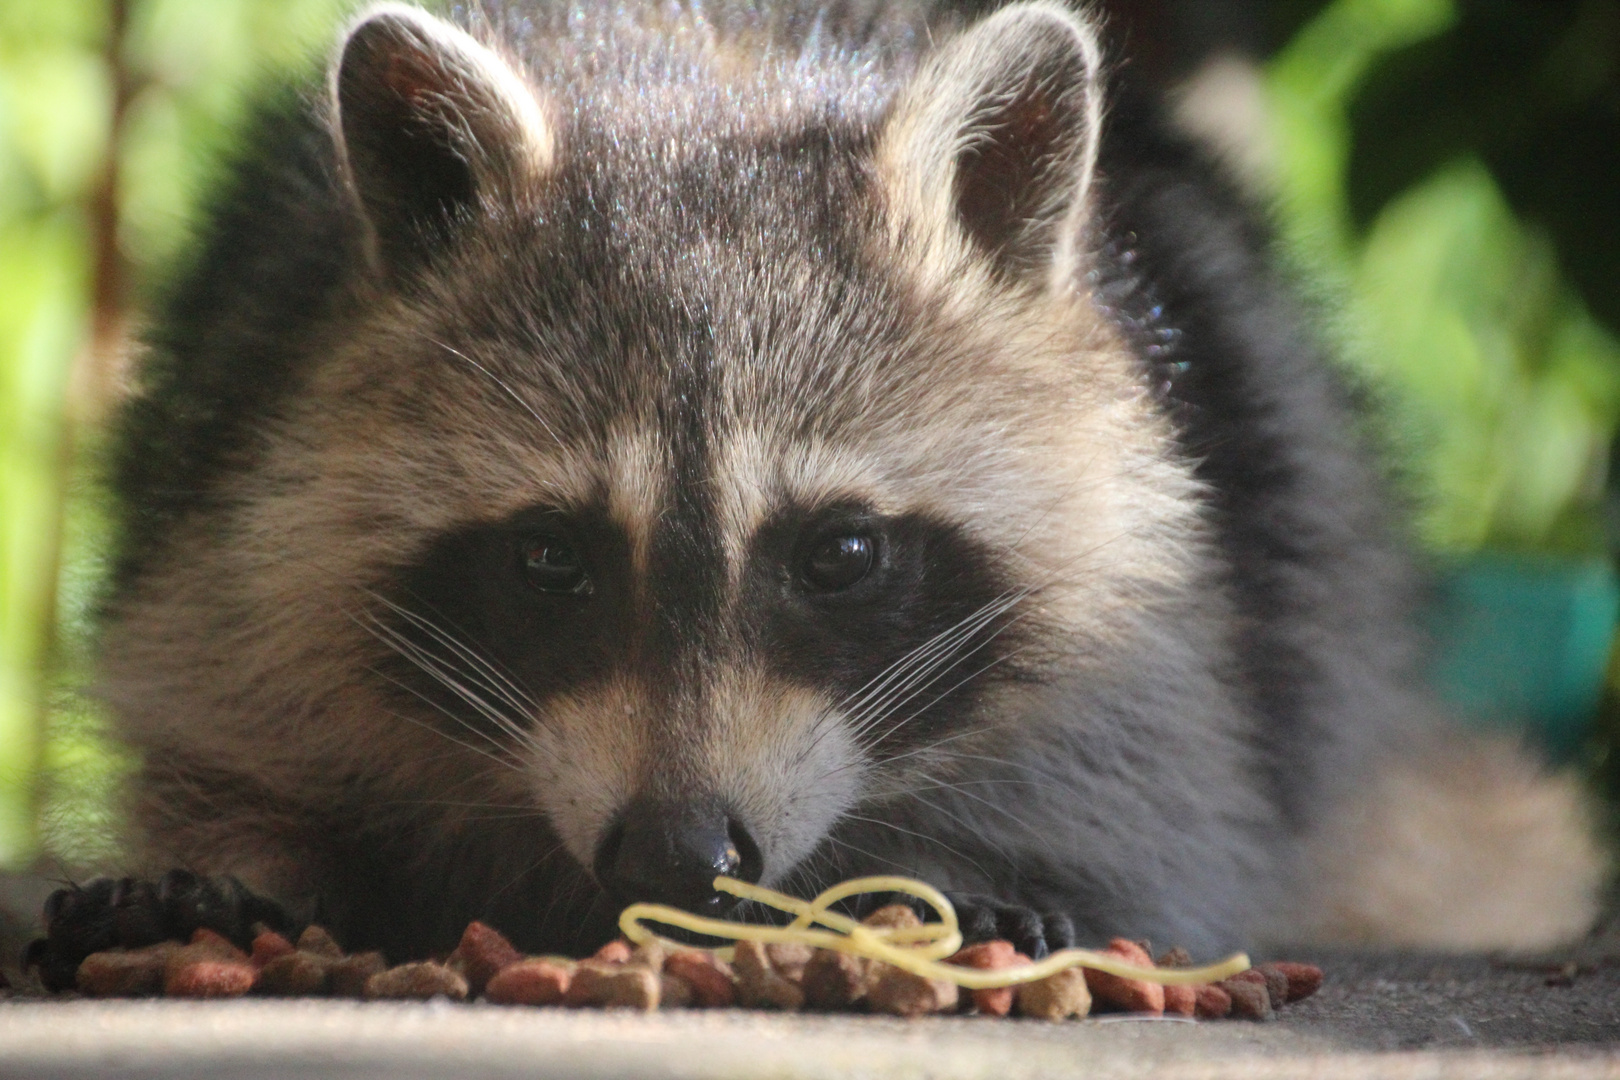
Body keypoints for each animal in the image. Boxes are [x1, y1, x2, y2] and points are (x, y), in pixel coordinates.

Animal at [57, 0, 1600, 965]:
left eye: (840, 556)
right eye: (551, 559)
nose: (677, 853)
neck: (706, 82)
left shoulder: (1188, 604)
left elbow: (1169, 802)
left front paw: (997, 874)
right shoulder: (236, 509)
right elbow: (225, 718)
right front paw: (243, 848)